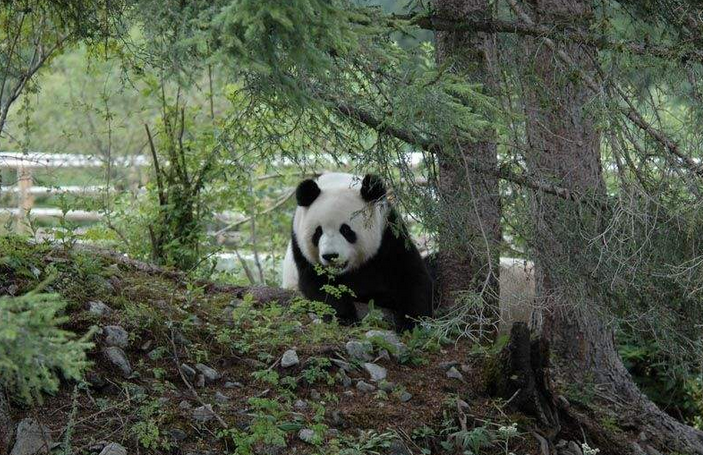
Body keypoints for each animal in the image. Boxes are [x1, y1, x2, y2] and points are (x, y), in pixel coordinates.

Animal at [282, 173, 434, 330]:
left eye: (346, 230)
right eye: (318, 232)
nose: (330, 256)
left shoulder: (389, 233)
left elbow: (411, 276)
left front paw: (411, 323)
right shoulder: (299, 246)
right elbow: (318, 284)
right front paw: (345, 317)